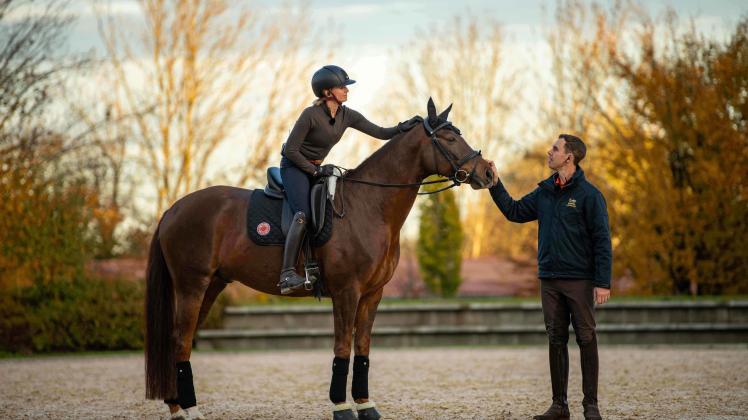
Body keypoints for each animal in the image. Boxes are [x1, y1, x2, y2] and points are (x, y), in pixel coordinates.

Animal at [144, 98, 495, 419]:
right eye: (449, 139)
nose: (488, 172)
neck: (367, 205)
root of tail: (173, 209)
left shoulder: (372, 294)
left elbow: (362, 349)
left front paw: (366, 405)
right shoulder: (346, 292)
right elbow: (342, 348)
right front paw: (342, 407)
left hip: (211, 286)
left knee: (179, 341)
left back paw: (177, 406)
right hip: (191, 286)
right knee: (180, 341)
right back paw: (188, 410)